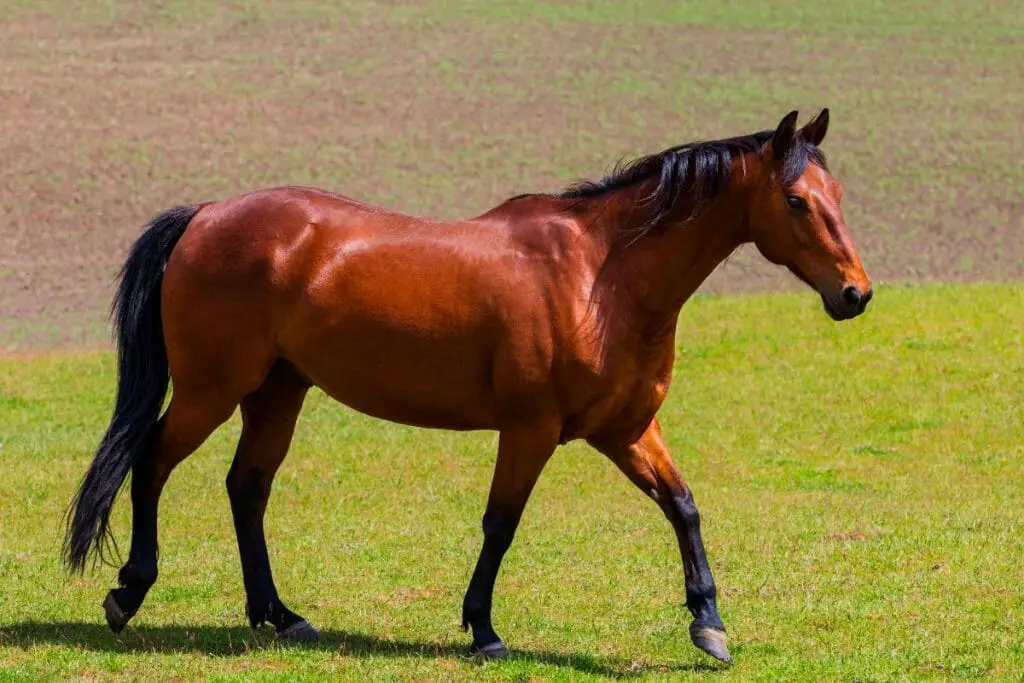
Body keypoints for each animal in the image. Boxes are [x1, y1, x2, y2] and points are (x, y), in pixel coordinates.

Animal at [59, 111, 868, 663]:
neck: (601, 275)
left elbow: (684, 506)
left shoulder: (625, 429)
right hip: (211, 389)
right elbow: (501, 523)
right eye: (796, 200)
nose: (855, 295)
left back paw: (278, 613)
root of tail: (206, 215)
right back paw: (128, 591)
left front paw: (709, 623)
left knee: (246, 487)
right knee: (152, 463)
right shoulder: (531, 429)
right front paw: (482, 627)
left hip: (278, 392)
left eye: (836, 190)